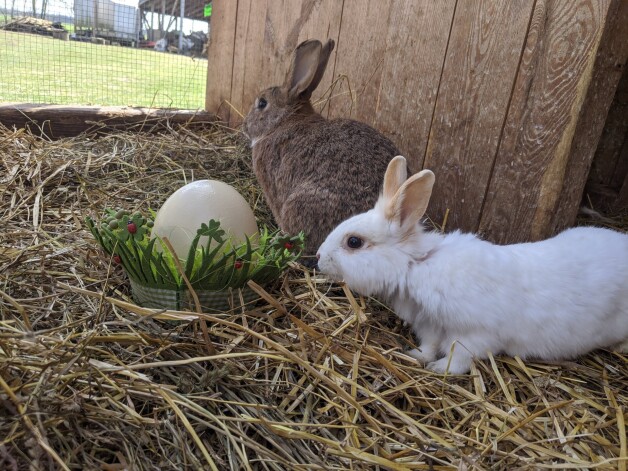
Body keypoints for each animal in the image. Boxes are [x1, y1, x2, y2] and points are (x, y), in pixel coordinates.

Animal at [316, 157, 628, 374]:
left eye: (354, 242)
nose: (319, 257)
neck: (417, 265)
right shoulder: (429, 325)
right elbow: (429, 345)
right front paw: (417, 356)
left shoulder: (474, 334)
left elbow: (459, 357)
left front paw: (438, 369)